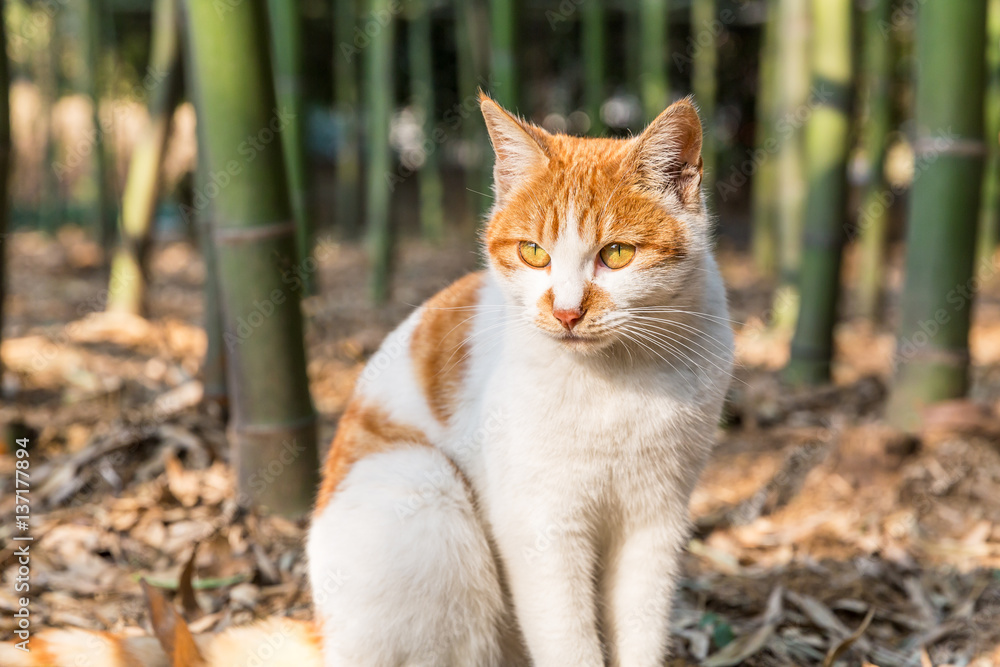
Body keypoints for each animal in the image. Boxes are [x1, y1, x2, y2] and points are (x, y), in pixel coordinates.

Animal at [304, 95, 736, 667]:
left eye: (617, 254)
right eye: (533, 253)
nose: (567, 312)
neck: (614, 381)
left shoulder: (655, 519)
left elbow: (641, 630)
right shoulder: (542, 527)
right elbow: (568, 642)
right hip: (423, 487)